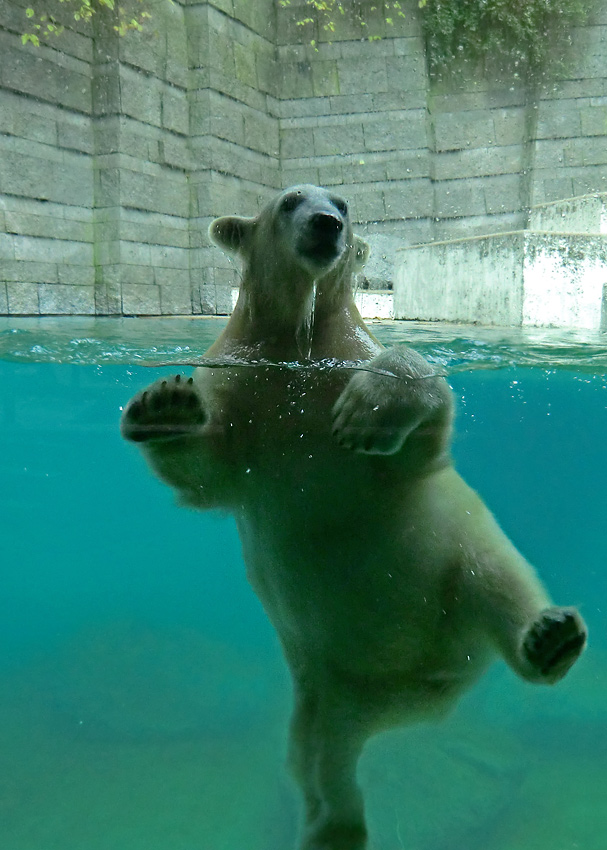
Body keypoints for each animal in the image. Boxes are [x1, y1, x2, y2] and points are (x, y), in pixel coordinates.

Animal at [122, 184, 588, 848]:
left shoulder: (349, 368)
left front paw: (368, 413)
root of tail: (423, 693)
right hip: (324, 687)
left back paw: (548, 639)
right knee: (318, 759)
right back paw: (333, 827)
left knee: (499, 578)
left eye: (343, 203)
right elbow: (208, 471)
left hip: (457, 559)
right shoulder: (238, 385)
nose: (327, 224)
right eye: (291, 201)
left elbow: (418, 418)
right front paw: (164, 403)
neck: (298, 352)